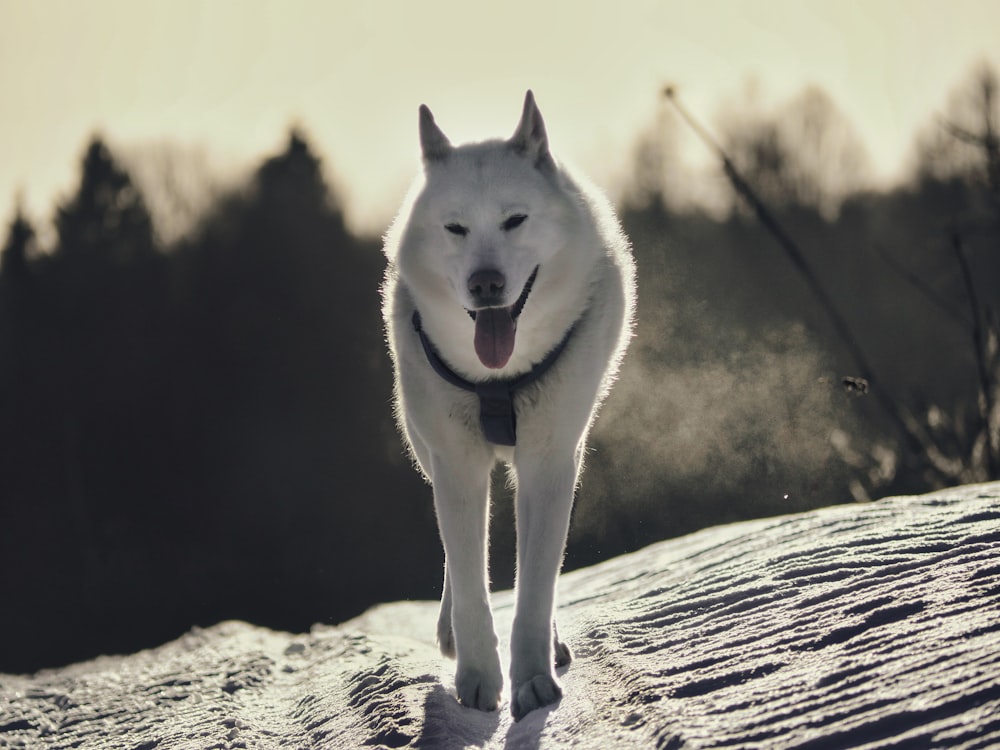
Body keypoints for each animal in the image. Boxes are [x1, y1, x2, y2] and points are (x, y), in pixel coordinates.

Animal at [382, 91, 632, 720]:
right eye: (456, 228)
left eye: (514, 220)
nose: (486, 284)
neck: (500, 376)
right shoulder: (457, 464)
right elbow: (472, 581)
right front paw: (476, 677)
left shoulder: (549, 460)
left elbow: (536, 584)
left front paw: (533, 680)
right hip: (428, 447)